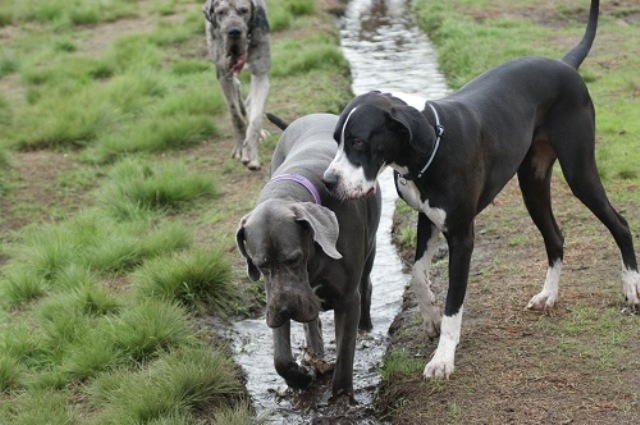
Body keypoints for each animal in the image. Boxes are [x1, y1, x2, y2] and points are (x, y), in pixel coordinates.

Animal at [203, 0, 270, 170]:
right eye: (220, 12)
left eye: (244, 10)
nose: (233, 31)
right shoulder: (223, 75)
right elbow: (235, 114)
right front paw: (240, 146)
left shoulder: (261, 74)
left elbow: (255, 119)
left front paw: (251, 152)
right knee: (237, 86)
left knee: (249, 102)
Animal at [236, 113, 381, 398]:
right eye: (261, 265)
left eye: (293, 259)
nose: (285, 310)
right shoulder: (276, 296)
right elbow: (280, 358)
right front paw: (300, 377)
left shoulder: (347, 299)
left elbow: (345, 355)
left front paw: (341, 396)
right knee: (311, 324)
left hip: (369, 253)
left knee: (366, 285)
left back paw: (365, 327)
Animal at [322, 0, 639, 380]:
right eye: (337, 139)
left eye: (357, 141)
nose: (328, 181)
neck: (429, 144)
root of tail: (564, 63)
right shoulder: (428, 219)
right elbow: (417, 275)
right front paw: (429, 318)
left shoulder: (462, 236)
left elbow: (454, 303)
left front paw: (443, 357)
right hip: (532, 184)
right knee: (555, 237)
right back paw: (548, 295)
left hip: (579, 172)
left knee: (620, 223)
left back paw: (631, 287)